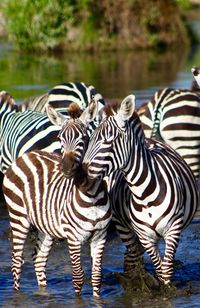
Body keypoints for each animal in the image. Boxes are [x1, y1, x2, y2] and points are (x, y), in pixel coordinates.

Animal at [2, 100, 111, 298]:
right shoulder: (73, 237)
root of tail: (25, 155)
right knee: (16, 262)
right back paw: (17, 295)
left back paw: (43, 292)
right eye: (60, 138)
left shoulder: (100, 236)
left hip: (46, 225)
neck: (90, 195)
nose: (66, 168)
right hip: (18, 217)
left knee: (39, 259)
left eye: (83, 138)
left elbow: (97, 277)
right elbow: (78, 277)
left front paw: (97, 300)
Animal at [83, 94, 198, 286]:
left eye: (108, 141)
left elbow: (166, 271)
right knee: (132, 257)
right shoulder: (145, 237)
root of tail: (150, 140)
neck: (144, 194)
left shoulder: (173, 230)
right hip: (124, 227)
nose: (79, 174)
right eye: (89, 140)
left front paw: (168, 290)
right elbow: (159, 268)